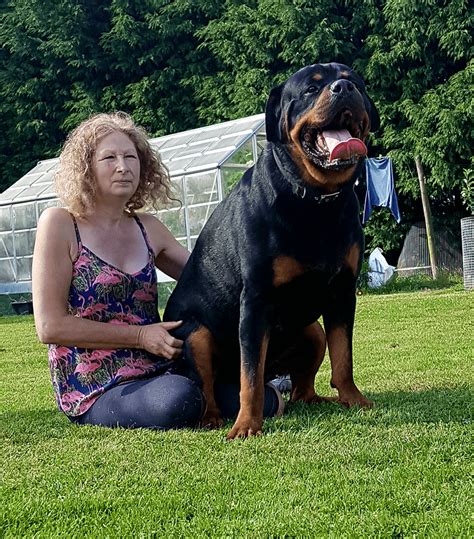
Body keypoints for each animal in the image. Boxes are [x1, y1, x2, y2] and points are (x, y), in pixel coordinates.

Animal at [165, 62, 380, 438]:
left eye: (355, 81)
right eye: (311, 89)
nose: (343, 89)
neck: (315, 201)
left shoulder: (342, 293)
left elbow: (344, 356)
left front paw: (353, 399)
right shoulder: (255, 300)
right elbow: (249, 377)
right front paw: (247, 424)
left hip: (311, 331)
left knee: (299, 384)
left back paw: (313, 398)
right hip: (196, 335)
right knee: (209, 385)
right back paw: (211, 417)